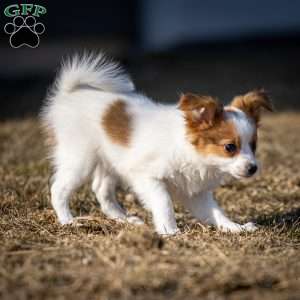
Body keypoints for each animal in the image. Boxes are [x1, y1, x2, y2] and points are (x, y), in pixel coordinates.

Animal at [41, 53, 274, 234]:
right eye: (230, 147)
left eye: (253, 145)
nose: (253, 168)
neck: (191, 152)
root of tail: (70, 92)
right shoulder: (148, 177)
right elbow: (164, 202)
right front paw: (169, 231)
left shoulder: (196, 193)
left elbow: (215, 212)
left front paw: (234, 227)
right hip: (80, 159)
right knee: (58, 189)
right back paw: (68, 220)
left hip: (111, 162)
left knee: (101, 190)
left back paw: (124, 219)